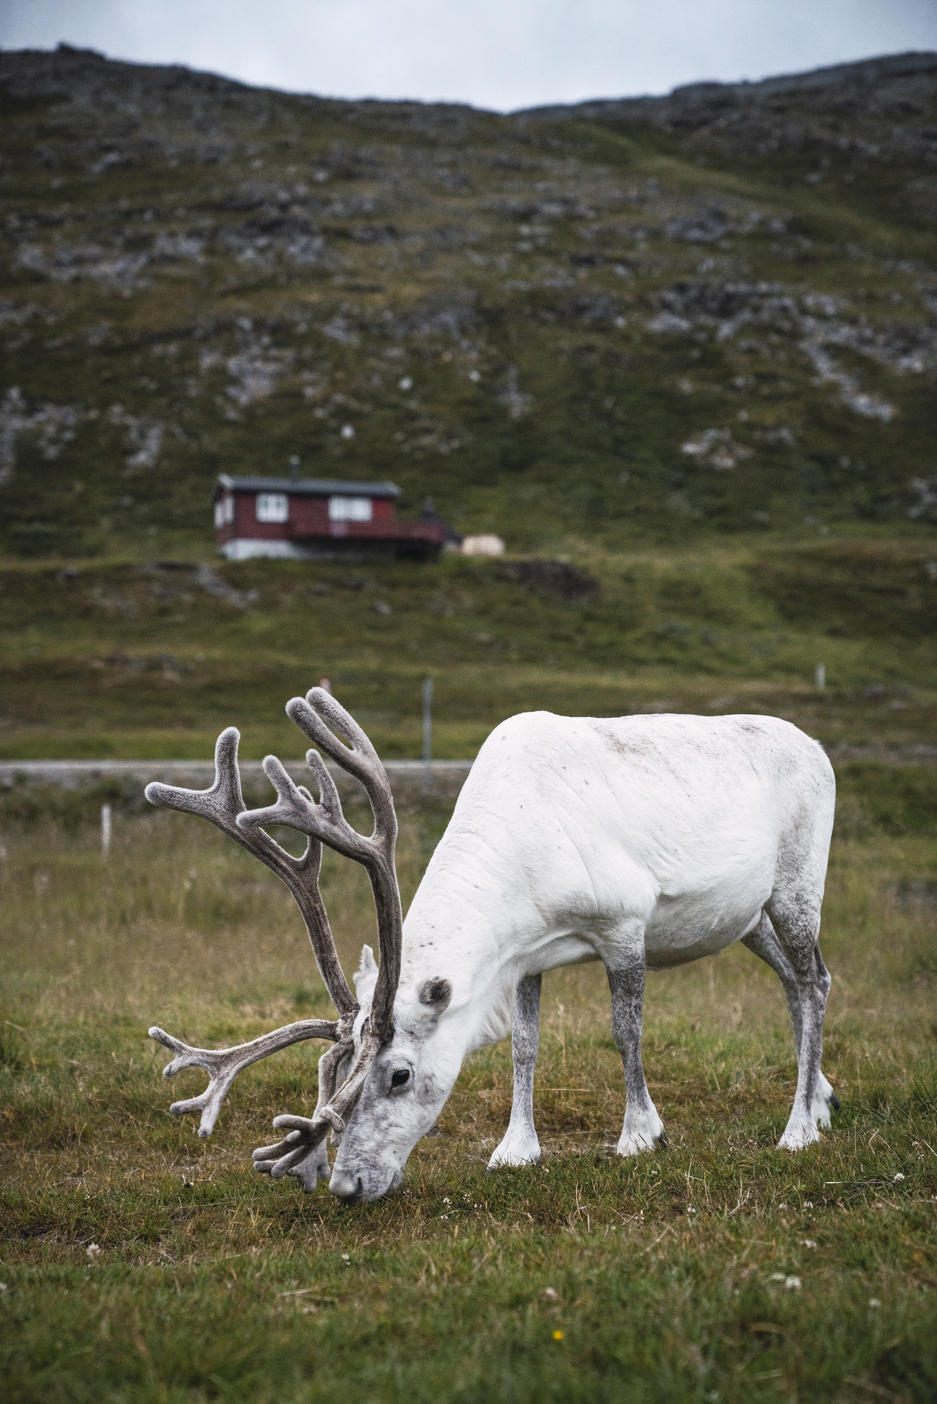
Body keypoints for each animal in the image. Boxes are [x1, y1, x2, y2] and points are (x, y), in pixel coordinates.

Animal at [146, 688, 838, 1204]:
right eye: (337, 1073)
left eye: (399, 1073)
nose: (345, 1186)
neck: (522, 863)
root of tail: (818, 748)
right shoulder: (528, 956)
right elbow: (524, 1046)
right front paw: (515, 1150)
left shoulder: (623, 924)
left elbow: (625, 1031)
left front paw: (642, 1135)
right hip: (748, 916)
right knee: (793, 978)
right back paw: (823, 1098)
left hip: (798, 884)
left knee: (815, 979)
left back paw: (799, 1129)